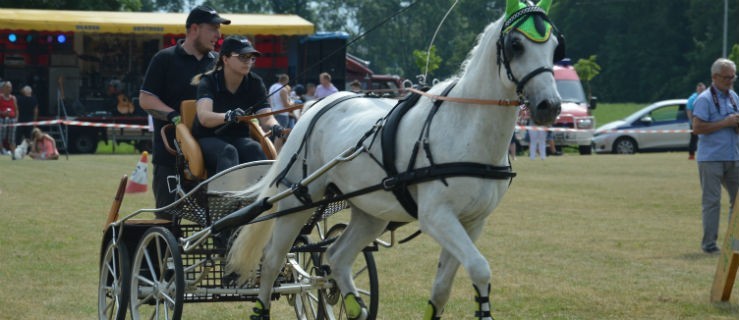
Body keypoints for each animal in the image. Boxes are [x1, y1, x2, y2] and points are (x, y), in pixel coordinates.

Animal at [225, 1, 560, 318]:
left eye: (556, 46)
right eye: (516, 44)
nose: (550, 106)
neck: (466, 128)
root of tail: (317, 106)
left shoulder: (472, 222)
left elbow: (442, 288)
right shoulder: (436, 216)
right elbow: (479, 268)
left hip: (370, 211)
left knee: (336, 256)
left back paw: (356, 307)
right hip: (298, 199)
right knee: (272, 259)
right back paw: (262, 307)